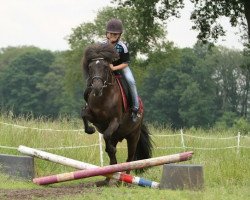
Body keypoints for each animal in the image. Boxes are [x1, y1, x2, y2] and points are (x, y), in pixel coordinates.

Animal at [81, 43, 151, 184]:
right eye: (91, 67)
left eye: (105, 67)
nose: (96, 87)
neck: (103, 97)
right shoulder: (95, 118)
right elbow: (84, 115)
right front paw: (90, 130)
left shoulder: (115, 121)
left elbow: (107, 134)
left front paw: (111, 149)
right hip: (118, 136)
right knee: (113, 158)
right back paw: (108, 180)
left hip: (133, 135)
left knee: (130, 159)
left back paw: (124, 181)